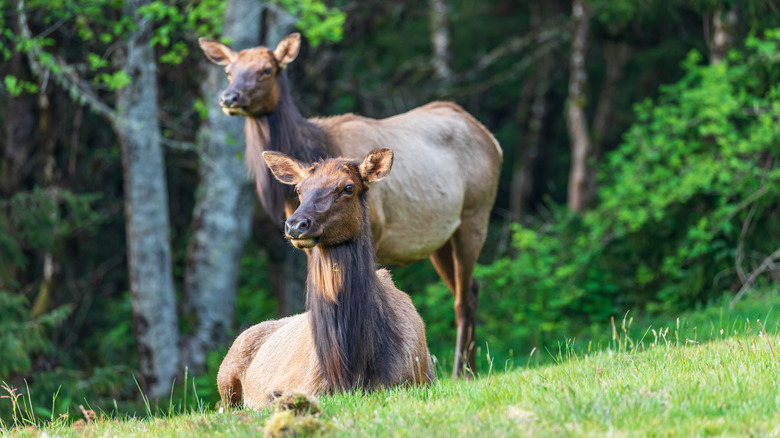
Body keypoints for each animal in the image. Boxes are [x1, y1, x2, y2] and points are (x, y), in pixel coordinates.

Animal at [199, 33, 502, 376]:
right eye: (229, 71)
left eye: (267, 70)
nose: (229, 97)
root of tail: (493, 140)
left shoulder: (375, 229)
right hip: (440, 238)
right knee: (471, 287)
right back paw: (471, 368)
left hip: (476, 214)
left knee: (464, 296)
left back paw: (460, 371)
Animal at [217, 148, 434, 409]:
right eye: (299, 189)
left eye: (348, 187)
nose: (296, 225)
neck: (348, 373)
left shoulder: (414, 380)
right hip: (225, 376)